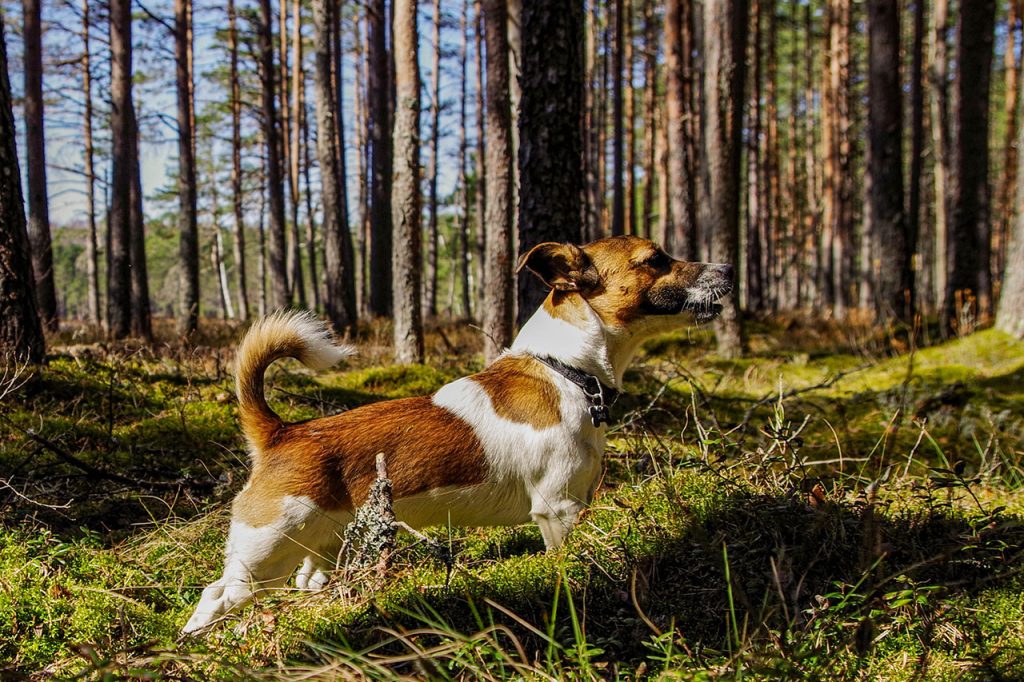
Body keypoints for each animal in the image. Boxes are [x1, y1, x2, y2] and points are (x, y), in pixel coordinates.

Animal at [182, 236, 729, 630]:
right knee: (215, 596)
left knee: (305, 580)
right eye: (655, 259)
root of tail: (282, 433)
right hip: (263, 556)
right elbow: (563, 563)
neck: (565, 370)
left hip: (317, 551)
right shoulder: (558, 511)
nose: (727, 270)